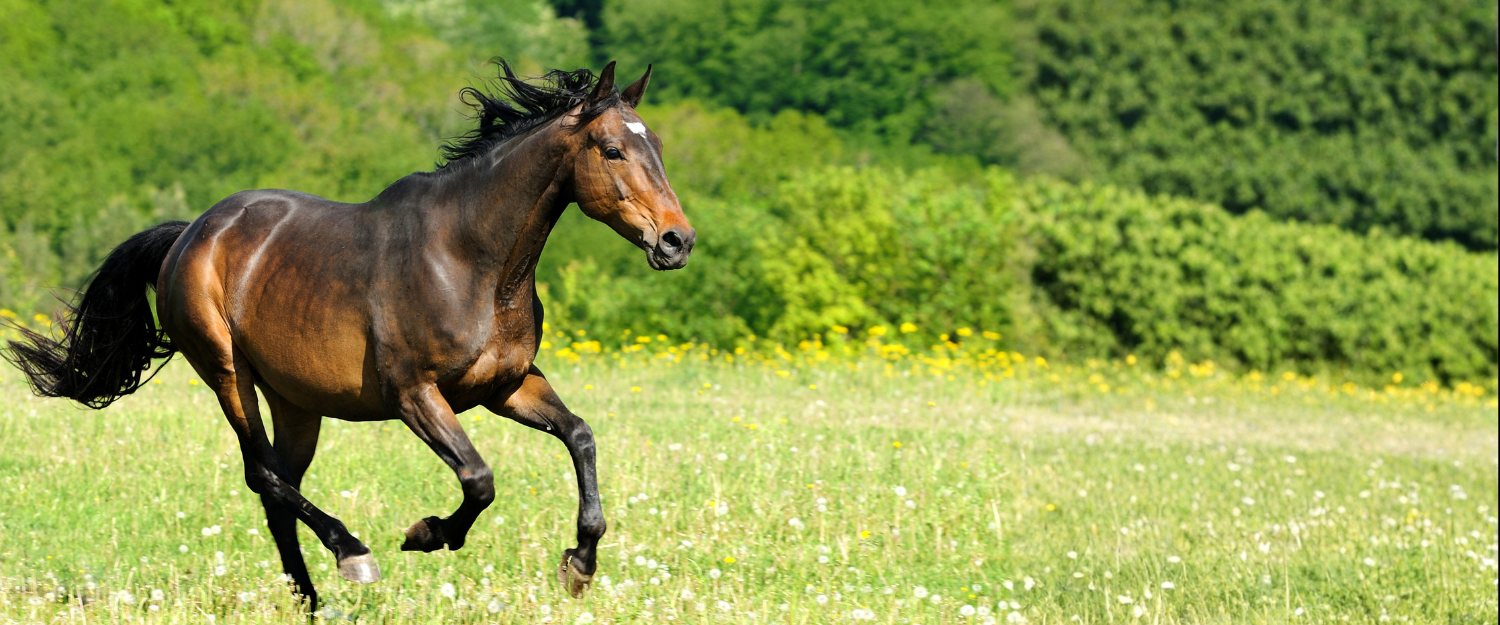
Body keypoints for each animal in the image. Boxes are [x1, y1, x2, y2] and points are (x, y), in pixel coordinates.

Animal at [3, 60, 692, 610]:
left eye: (658, 144)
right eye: (611, 150)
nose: (676, 241)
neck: (472, 261)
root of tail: (189, 234)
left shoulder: (508, 386)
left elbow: (580, 436)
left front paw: (579, 564)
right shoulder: (415, 394)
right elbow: (478, 478)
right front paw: (428, 534)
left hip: (296, 402)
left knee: (278, 488)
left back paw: (310, 600)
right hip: (227, 373)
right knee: (263, 475)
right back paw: (352, 555)